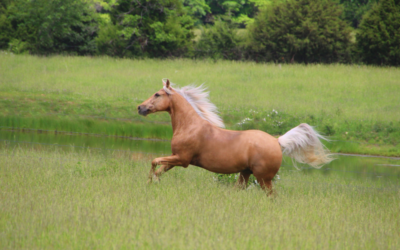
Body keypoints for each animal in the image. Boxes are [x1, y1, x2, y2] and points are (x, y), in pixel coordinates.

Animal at [138, 80, 332, 193]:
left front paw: (148, 182)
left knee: (271, 196)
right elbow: (159, 170)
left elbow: (154, 161)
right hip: (245, 173)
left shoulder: (182, 159)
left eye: (157, 94)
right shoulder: (175, 159)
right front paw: (153, 183)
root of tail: (277, 141)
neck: (189, 126)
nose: (140, 107)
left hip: (264, 178)